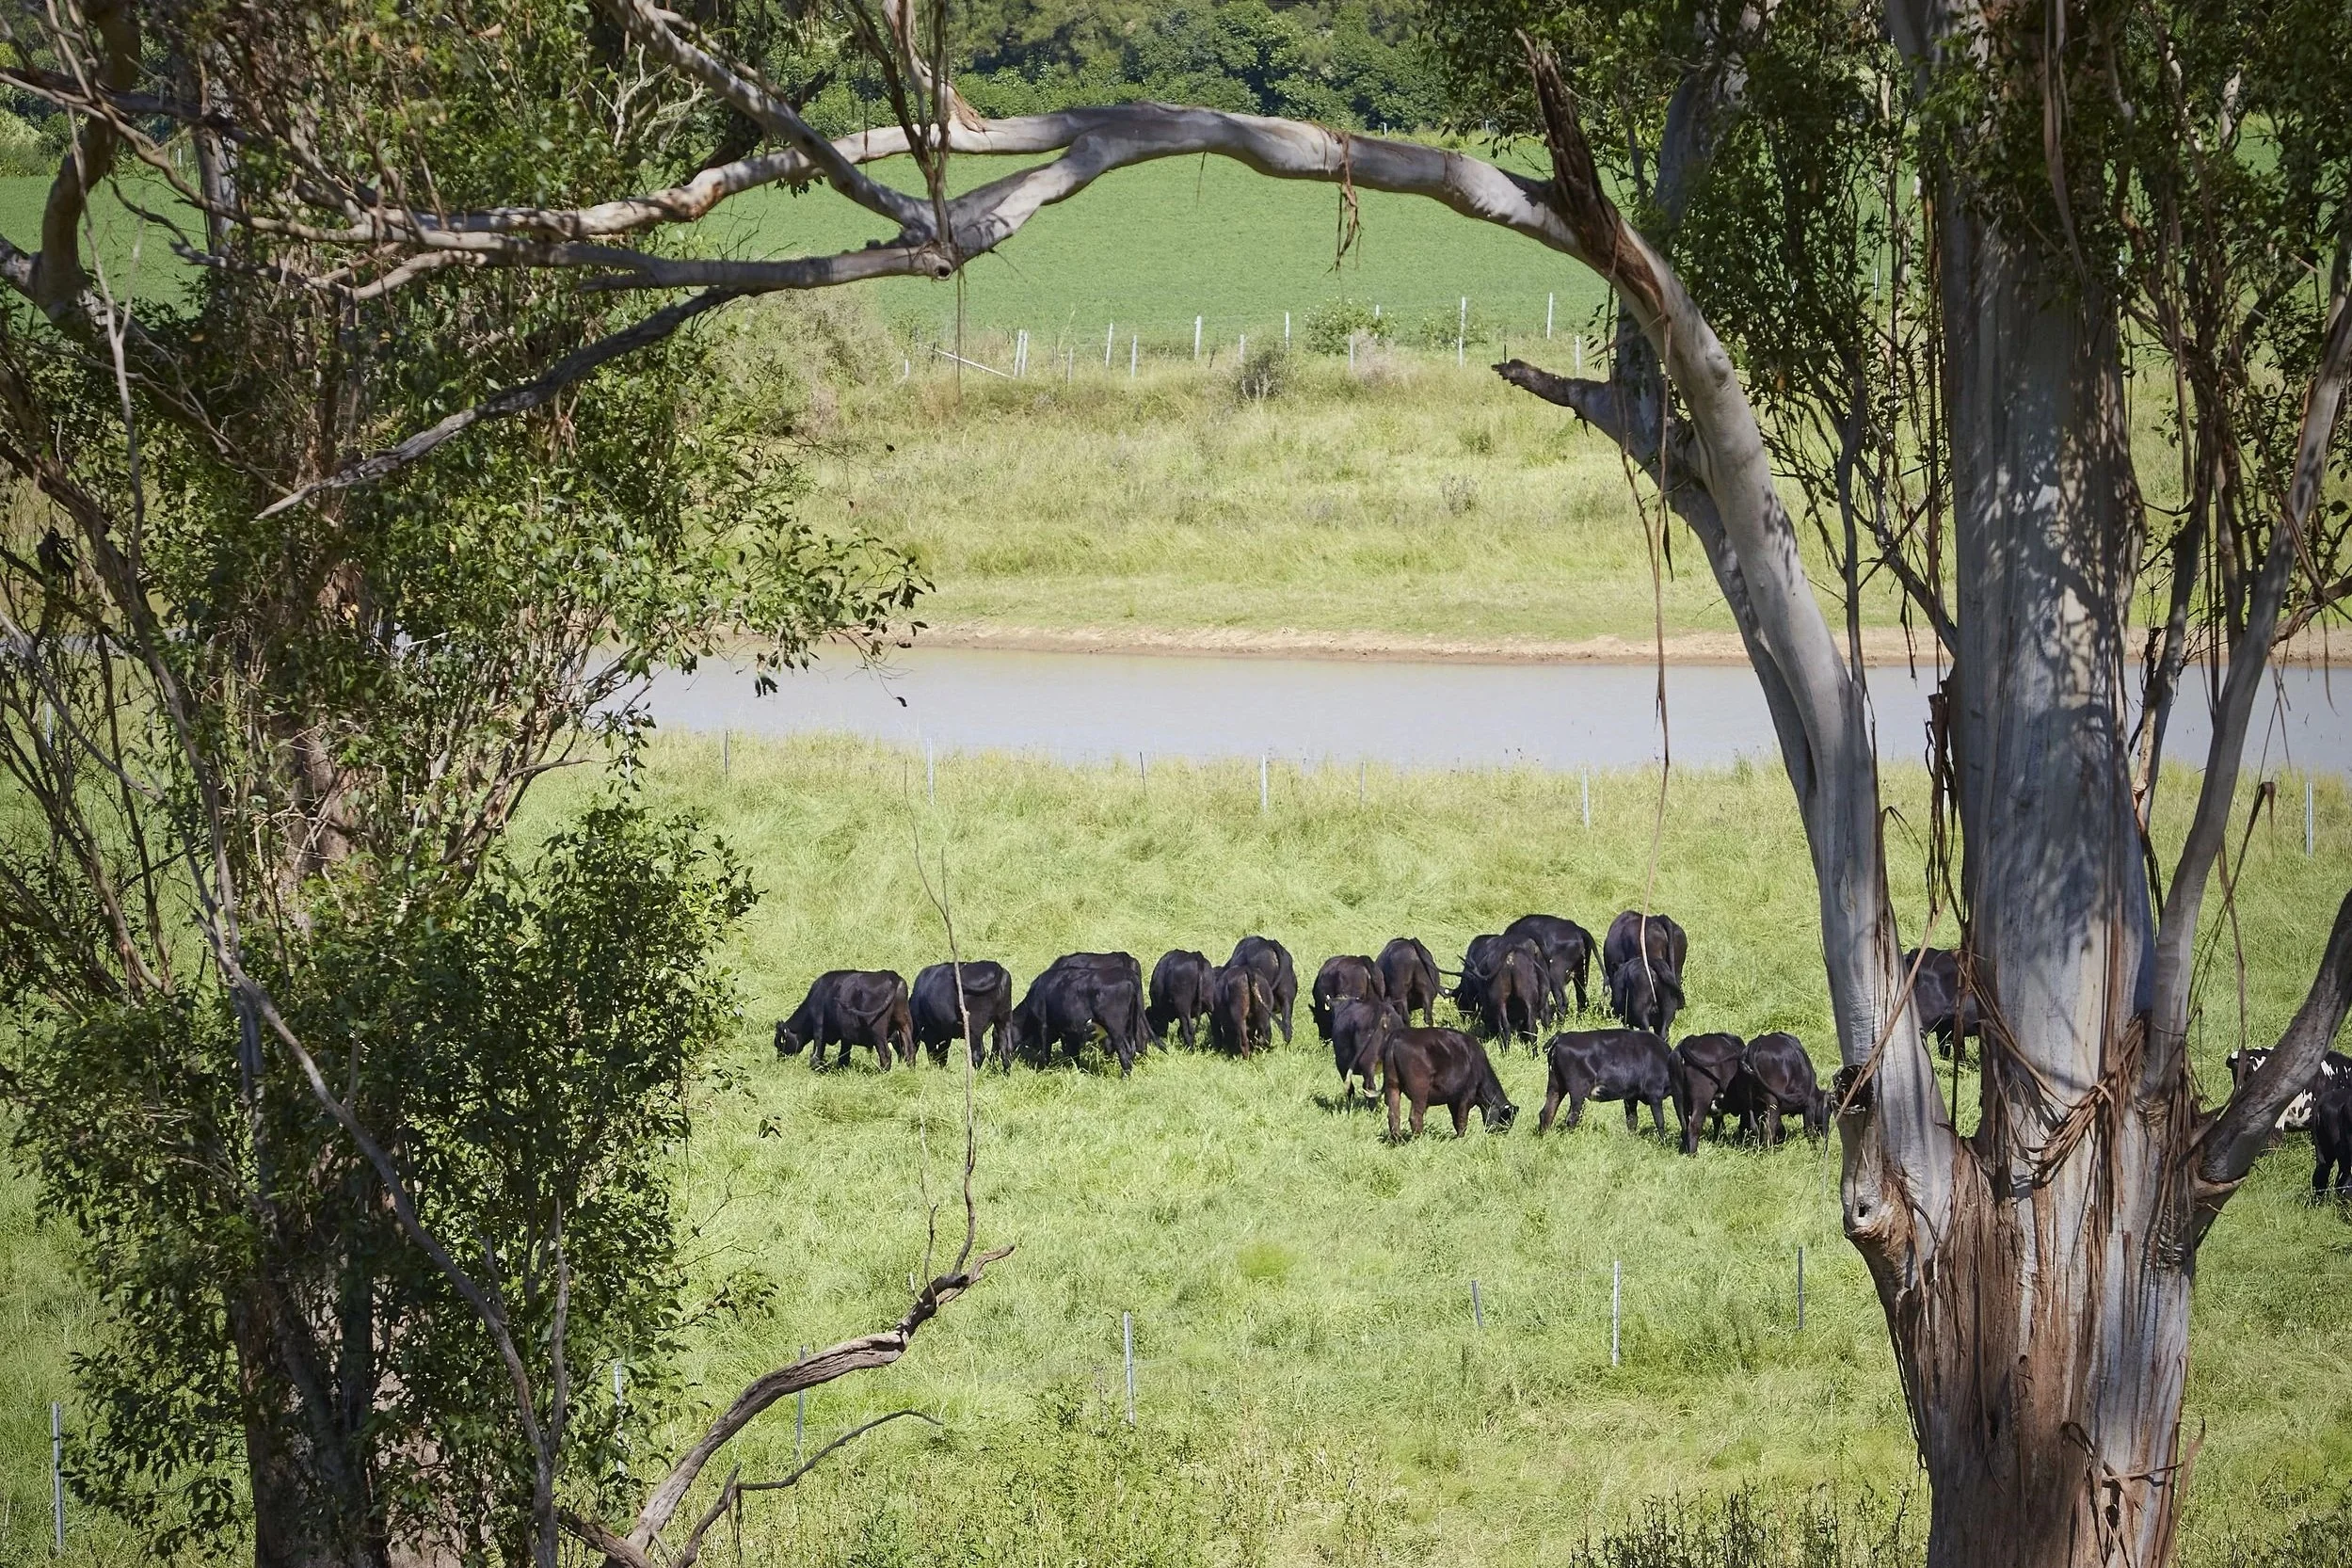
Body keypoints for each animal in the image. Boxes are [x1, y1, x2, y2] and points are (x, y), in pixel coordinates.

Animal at [775, 970, 913, 1071]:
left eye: (779, 1042)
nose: (779, 1059)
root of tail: (891, 975)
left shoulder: (818, 1025)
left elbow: (817, 1051)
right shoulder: (846, 1035)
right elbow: (844, 1054)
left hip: (877, 1030)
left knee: (885, 1054)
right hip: (904, 1023)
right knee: (909, 1050)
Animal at [1009, 959, 1147, 1076]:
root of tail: (1127, 974)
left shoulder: (1044, 1026)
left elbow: (1046, 1052)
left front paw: (1044, 1071)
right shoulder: (1071, 1031)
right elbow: (1074, 1055)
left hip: (1115, 1029)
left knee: (1124, 1051)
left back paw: (1125, 1077)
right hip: (1131, 1026)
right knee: (1132, 1048)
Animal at [1378, 1026, 1516, 1138]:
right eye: (1506, 1121)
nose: (1500, 1136)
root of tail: (1399, 1034)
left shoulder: (1453, 1099)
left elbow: (1455, 1119)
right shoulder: (1467, 1094)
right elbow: (1462, 1119)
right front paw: (1461, 1139)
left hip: (1392, 1085)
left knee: (1393, 1115)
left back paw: (1398, 1139)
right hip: (1420, 1090)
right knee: (1415, 1116)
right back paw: (1419, 1139)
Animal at [1537, 1029, 1674, 1137]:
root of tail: (1560, 1037)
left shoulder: (1630, 1096)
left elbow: (1632, 1120)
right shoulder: (1654, 1094)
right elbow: (1660, 1121)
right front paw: (1664, 1142)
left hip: (1556, 1085)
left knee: (1547, 1112)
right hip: (1577, 1090)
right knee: (1572, 1117)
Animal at [1668, 1031, 1747, 1155]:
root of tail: (1691, 1040)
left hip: (1678, 1097)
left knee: (1684, 1126)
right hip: (1702, 1099)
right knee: (1693, 1126)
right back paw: (1693, 1154)